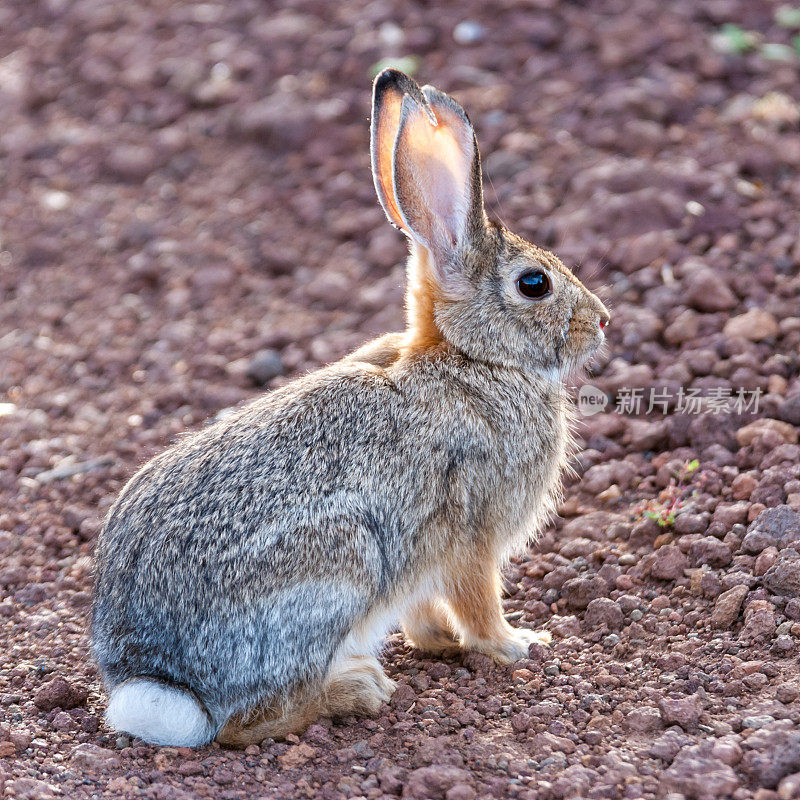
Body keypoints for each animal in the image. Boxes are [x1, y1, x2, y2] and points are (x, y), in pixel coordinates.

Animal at [90, 65, 608, 748]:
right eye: (534, 284)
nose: (602, 321)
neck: (470, 356)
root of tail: (156, 681)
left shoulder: (424, 559)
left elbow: (425, 607)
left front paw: (438, 643)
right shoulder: (472, 531)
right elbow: (478, 601)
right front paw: (517, 644)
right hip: (341, 567)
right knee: (245, 722)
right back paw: (357, 688)